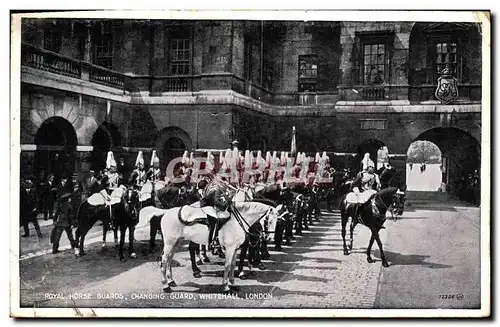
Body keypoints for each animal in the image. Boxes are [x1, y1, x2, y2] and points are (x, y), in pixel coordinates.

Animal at [139, 202, 280, 294]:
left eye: (277, 220)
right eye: (267, 220)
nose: (268, 238)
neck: (236, 221)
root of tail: (166, 212)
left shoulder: (234, 249)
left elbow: (233, 265)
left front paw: (233, 284)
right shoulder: (229, 249)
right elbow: (227, 266)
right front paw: (226, 287)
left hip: (175, 242)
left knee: (168, 260)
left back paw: (171, 281)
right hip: (169, 242)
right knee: (163, 261)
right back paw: (165, 286)